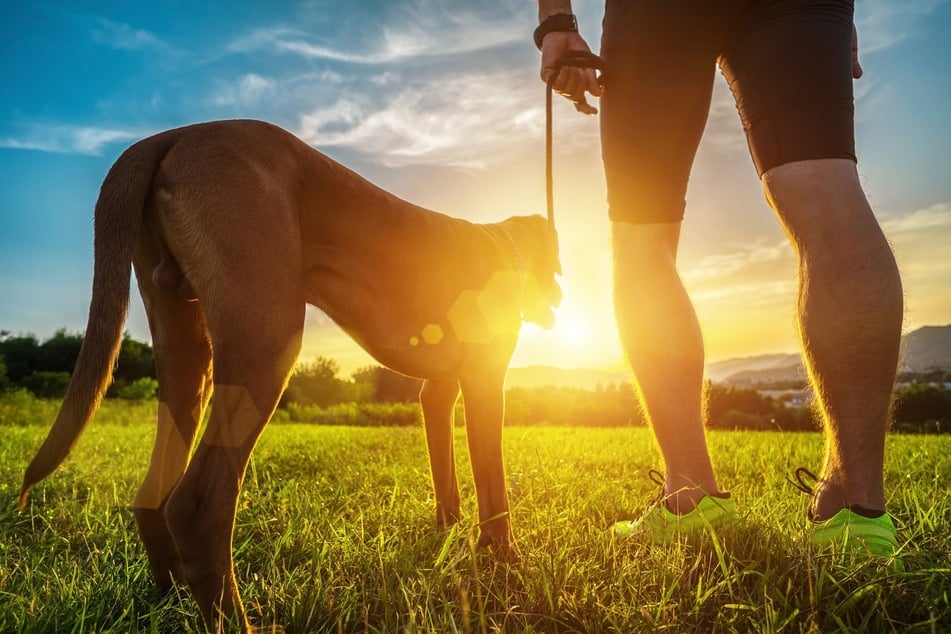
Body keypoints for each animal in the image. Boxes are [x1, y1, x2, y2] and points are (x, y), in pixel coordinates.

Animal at [14, 118, 560, 628]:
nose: (559, 302)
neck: (503, 244)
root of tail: (170, 136)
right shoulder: (485, 379)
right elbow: (493, 481)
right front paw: (505, 558)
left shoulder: (438, 390)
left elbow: (445, 470)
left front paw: (449, 533)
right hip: (268, 337)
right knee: (197, 505)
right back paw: (238, 621)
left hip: (186, 345)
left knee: (154, 496)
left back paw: (172, 603)